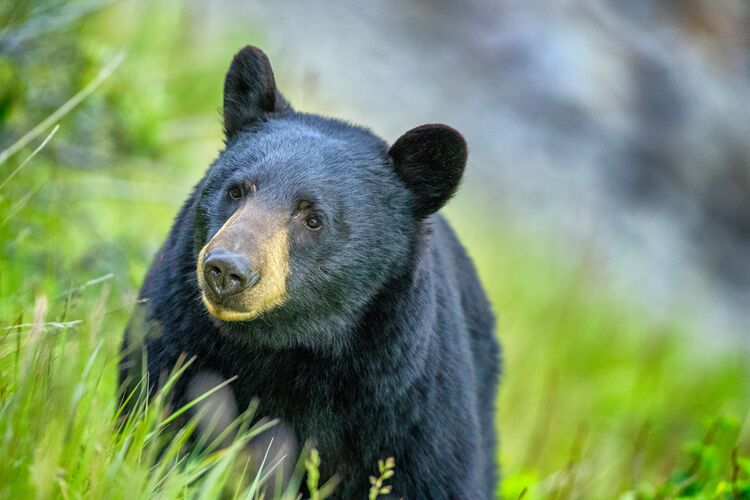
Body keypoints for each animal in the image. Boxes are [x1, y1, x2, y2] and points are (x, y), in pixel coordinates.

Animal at [120, 45, 502, 498]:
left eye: (313, 218)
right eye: (236, 189)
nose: (227, 270)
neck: (290, 349)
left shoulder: (413, 410)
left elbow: (434, 475)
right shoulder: (176, 336)